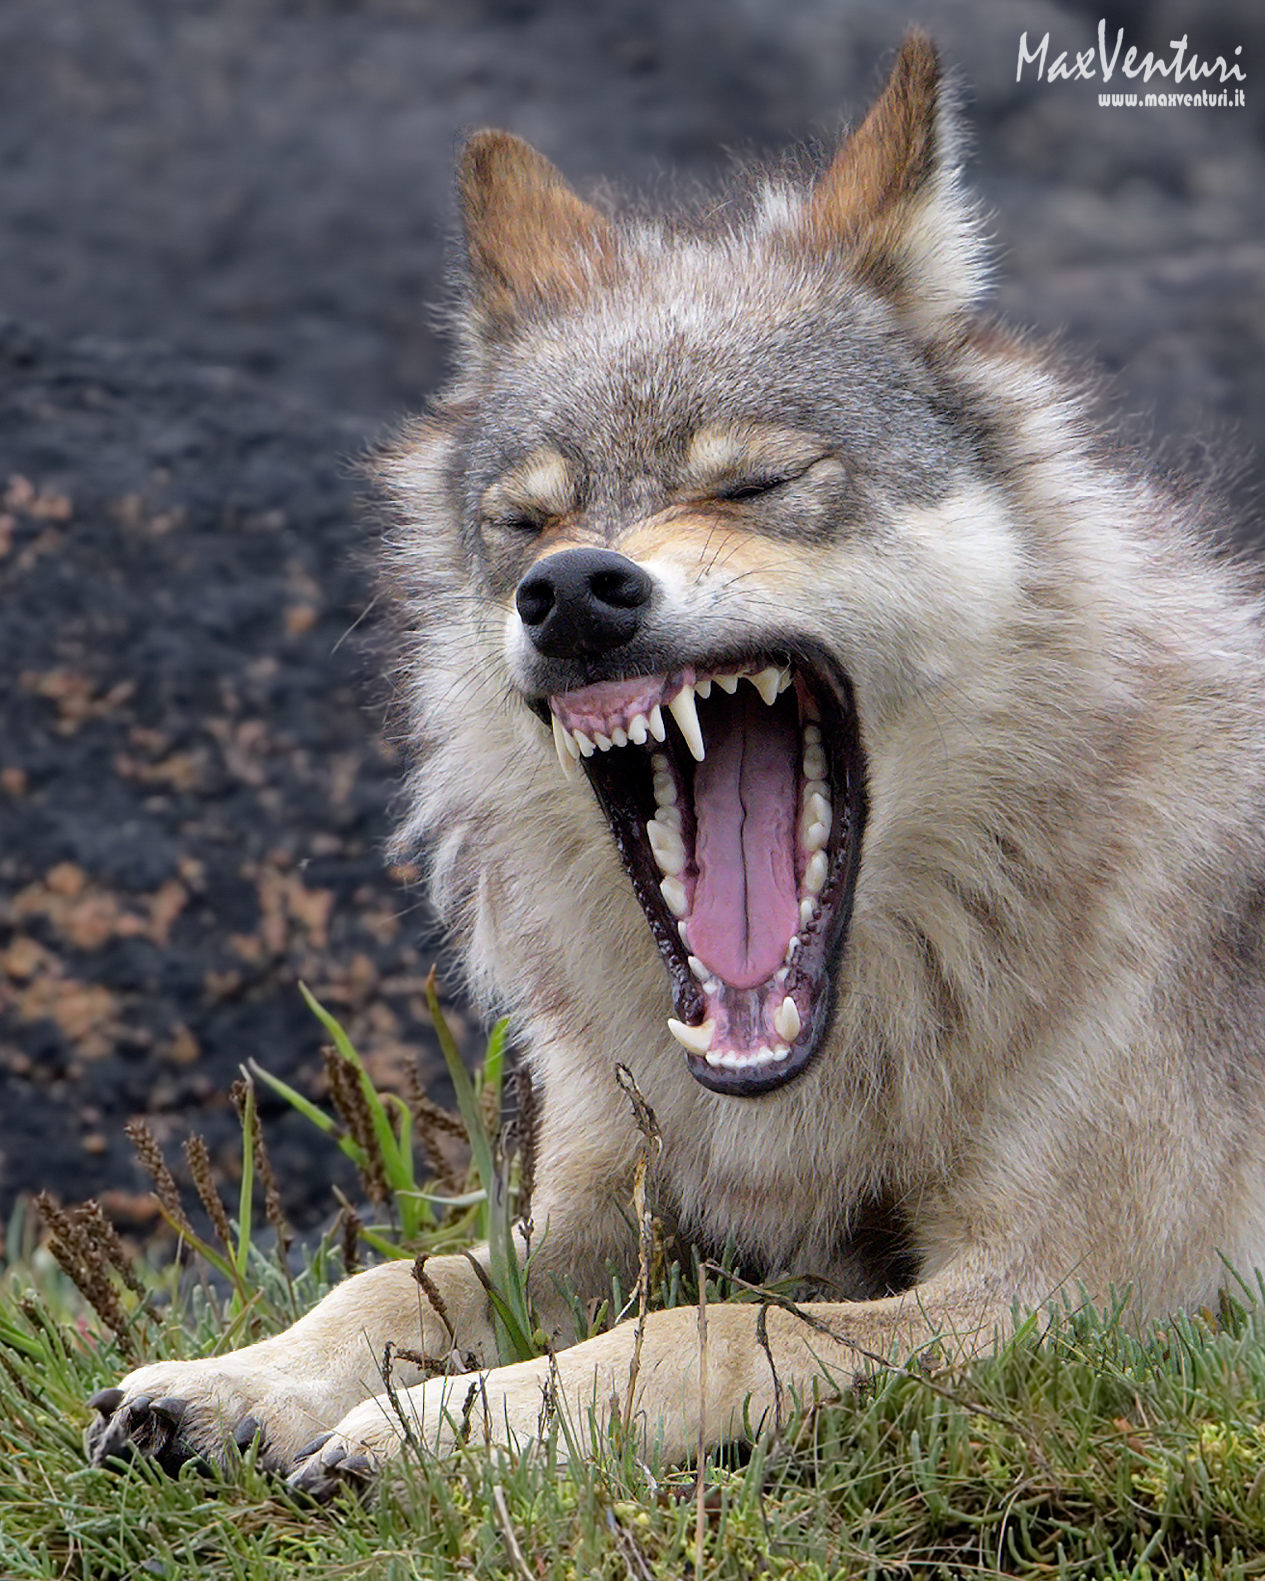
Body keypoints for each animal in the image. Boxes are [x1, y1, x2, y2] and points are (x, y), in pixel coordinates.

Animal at [87, 31, 1265, 1498]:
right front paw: (236, 1381)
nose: (572, 592)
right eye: (525, 520)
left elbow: (701, 1336)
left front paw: (445, 1430)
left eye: (755, 484)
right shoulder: (606, 1211)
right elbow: (396, 1280)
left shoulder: (1075, 1305)